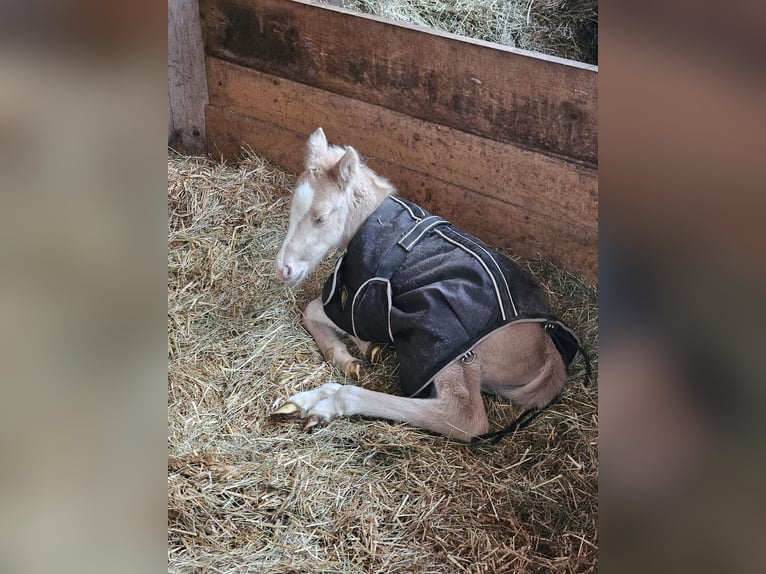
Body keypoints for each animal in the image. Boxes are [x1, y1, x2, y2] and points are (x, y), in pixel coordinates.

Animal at [272, 127, 580, 440]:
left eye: (321, 217)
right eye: (293, 207)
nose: (283, 269)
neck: (376, 223)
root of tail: (548, 354)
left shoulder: (369, 299)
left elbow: (314, 311)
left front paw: (359, 352)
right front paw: (358, 355)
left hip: (451, 350)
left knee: (463, 418)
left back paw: (326, 405)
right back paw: (302, 403)